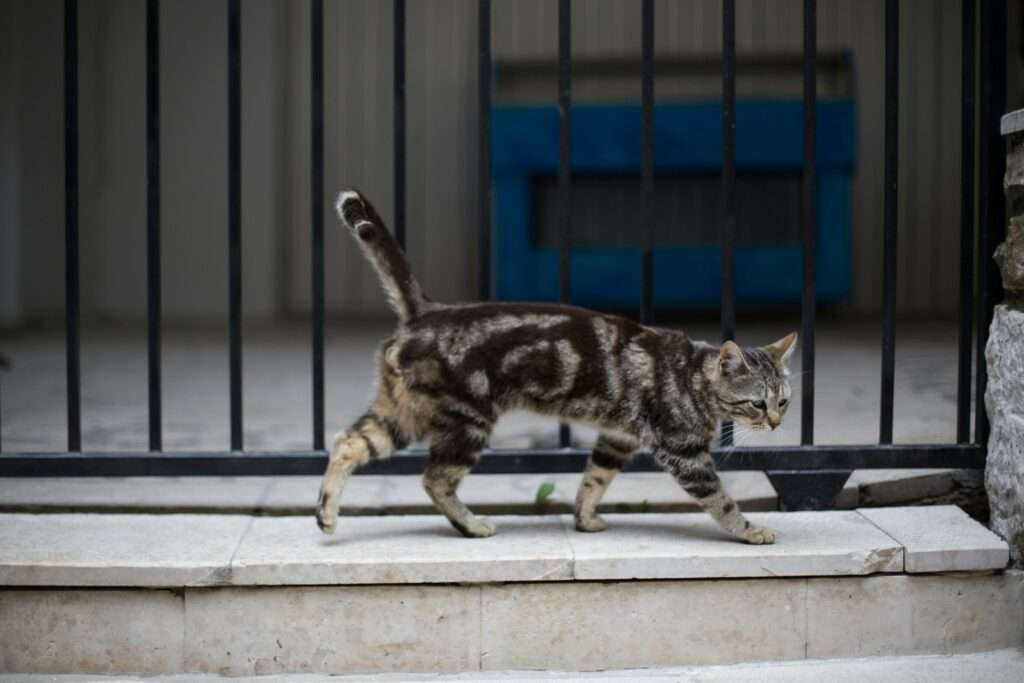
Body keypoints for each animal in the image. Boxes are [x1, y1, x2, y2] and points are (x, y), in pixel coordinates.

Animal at [315, 188, 794, 544]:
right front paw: (750, 531)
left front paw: (584, 520)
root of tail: (426, 310)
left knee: (347, 442)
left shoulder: (616, 438)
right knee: (435, 479)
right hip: (466, 422)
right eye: (757, 403)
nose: (775, 423)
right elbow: (721, 502)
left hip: (402, 414)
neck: (693, 376)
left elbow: (593, 481)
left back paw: (326, 515)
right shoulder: (684, 453)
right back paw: (472, 524)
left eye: (784, 402)